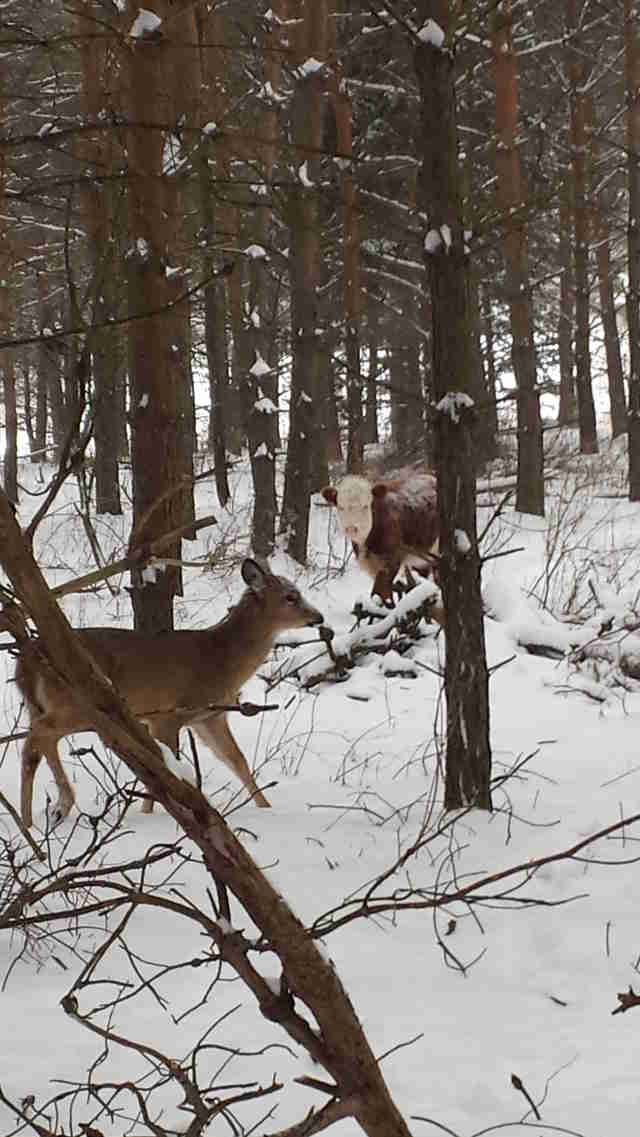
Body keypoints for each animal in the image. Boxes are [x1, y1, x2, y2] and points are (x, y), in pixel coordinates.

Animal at [15, 558, 324, 828]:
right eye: (290, 596)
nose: (318, 616)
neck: (221, 659)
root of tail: (26, 662)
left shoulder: (208, 718)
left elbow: (237, 760)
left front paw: (266, 808)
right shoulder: (169, 714)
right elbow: (168, 768)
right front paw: (157, 813)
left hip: (45, 705)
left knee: (41, 742)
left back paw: (49, 812)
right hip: (77, 703)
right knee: (38, 736)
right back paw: (37, 818)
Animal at [321, 472, 443, 621]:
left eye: (365, 506)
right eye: (341, 507)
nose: (351, 528)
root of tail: (430, 477)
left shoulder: (391, 559)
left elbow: (379, 592)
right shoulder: (373, 565)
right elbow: (383, 593)